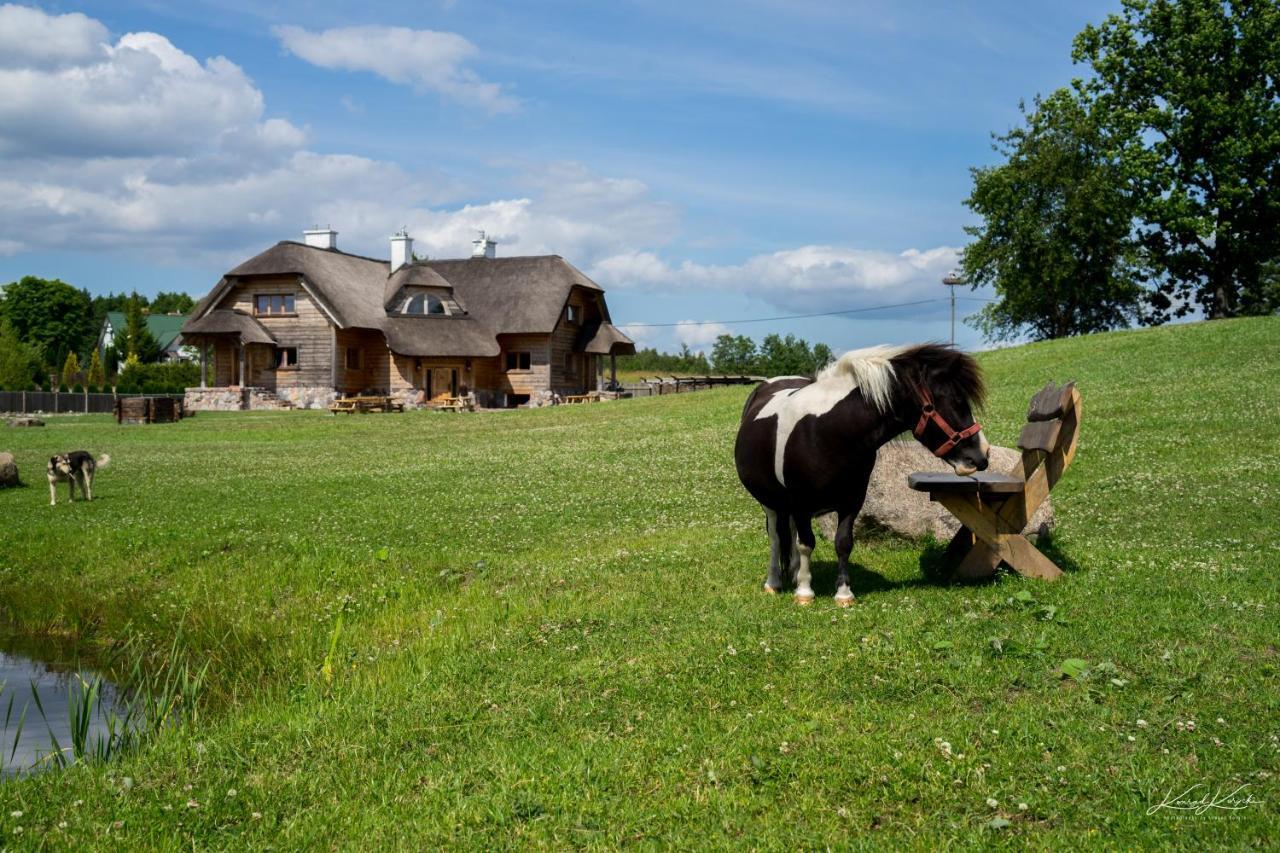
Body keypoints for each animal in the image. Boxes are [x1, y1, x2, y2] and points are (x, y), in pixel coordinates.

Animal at [732, 340, 988, 604]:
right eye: (953, 402)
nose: (981, 456)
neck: (824, 431)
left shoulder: (852, 501)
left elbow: (843, 543)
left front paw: (843, 593)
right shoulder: (802, 503)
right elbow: (806, 544)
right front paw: (804, 592)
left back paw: (793, 574)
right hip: (770, 503)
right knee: (775, 537)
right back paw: (774, 582)